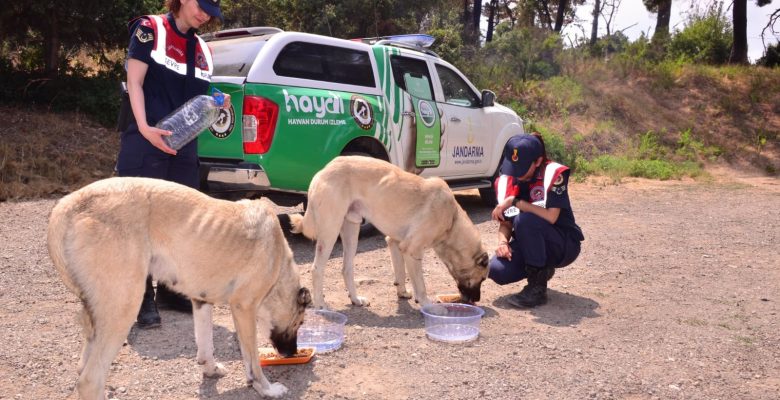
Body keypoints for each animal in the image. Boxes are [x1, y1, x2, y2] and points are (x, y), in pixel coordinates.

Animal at [46, 178, 310, 400]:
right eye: (299, 323)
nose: (292, 353)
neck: (278, 259)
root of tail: (68, 204)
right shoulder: (243, 309)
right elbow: (252, 360)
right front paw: (266, 388)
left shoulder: (201, 301)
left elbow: (206, 343)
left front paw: (210, 369)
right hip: (123, 308)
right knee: (90, 380)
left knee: (83, 368)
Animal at [292, 156, 488, 310]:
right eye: (482, 279)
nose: (477, 300)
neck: (452, 220)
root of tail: (323, 170)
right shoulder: (412, 250)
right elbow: (420, 285)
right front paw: (427, 304)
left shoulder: (394, 243)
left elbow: (400, 272)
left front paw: (402, 291)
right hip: (330, 232)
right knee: (317, 269)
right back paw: (320, 304)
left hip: (351, 231)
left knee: (346, 269)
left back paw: (355, 299)